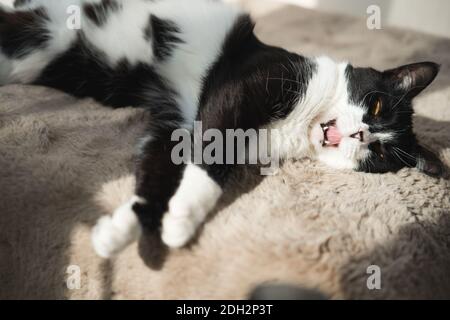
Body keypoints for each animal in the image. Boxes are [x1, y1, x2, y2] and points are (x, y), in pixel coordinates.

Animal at [0, 0, 442, 256]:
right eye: (377, 105)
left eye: (381, 153)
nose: (361, 135)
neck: (299, 127)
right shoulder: (244, 84)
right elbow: (216, 149)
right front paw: (184, 216)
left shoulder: (175, 123)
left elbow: (155, 169)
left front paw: (124, 230)